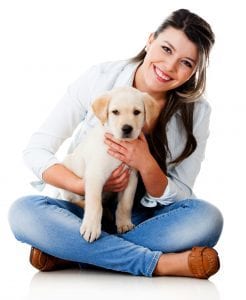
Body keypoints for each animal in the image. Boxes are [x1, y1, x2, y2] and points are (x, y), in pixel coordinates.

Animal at [60, 86, 159, 241]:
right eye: (115, 112)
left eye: (136, 112)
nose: (127, 128)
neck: (119, 143)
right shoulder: (95, 175)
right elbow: (94, 204)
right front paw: (91, 228)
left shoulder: (131, 177)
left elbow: (126, 204)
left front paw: (124, 223)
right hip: (68, 182)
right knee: (76, 201)